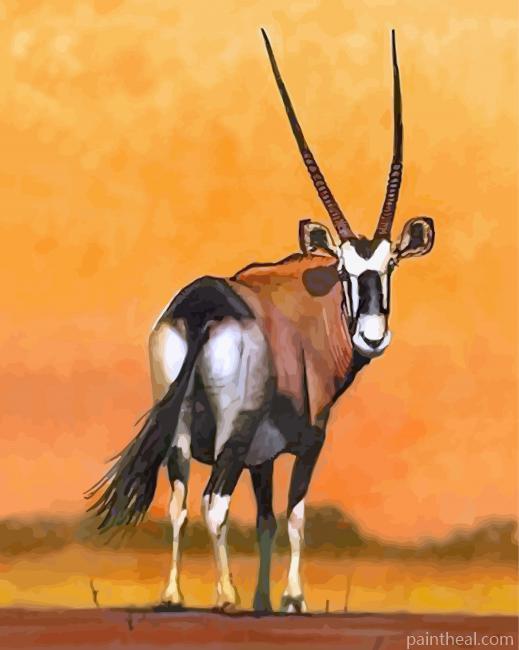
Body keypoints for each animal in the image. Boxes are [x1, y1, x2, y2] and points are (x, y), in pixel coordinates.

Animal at [86, 29, 435, 614]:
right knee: (212, 501)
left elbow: (267, 521)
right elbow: (294, 517)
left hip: (180, 431)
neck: (310, 305)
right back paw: (222, 596)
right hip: (234, 427)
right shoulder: (306, 443)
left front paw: (263, 600)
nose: (372, 336)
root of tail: (202, 305)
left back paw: (173, 595)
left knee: (180, 500)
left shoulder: (260, 459)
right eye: (345, 269)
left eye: (388, 266)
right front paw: (290, 598)